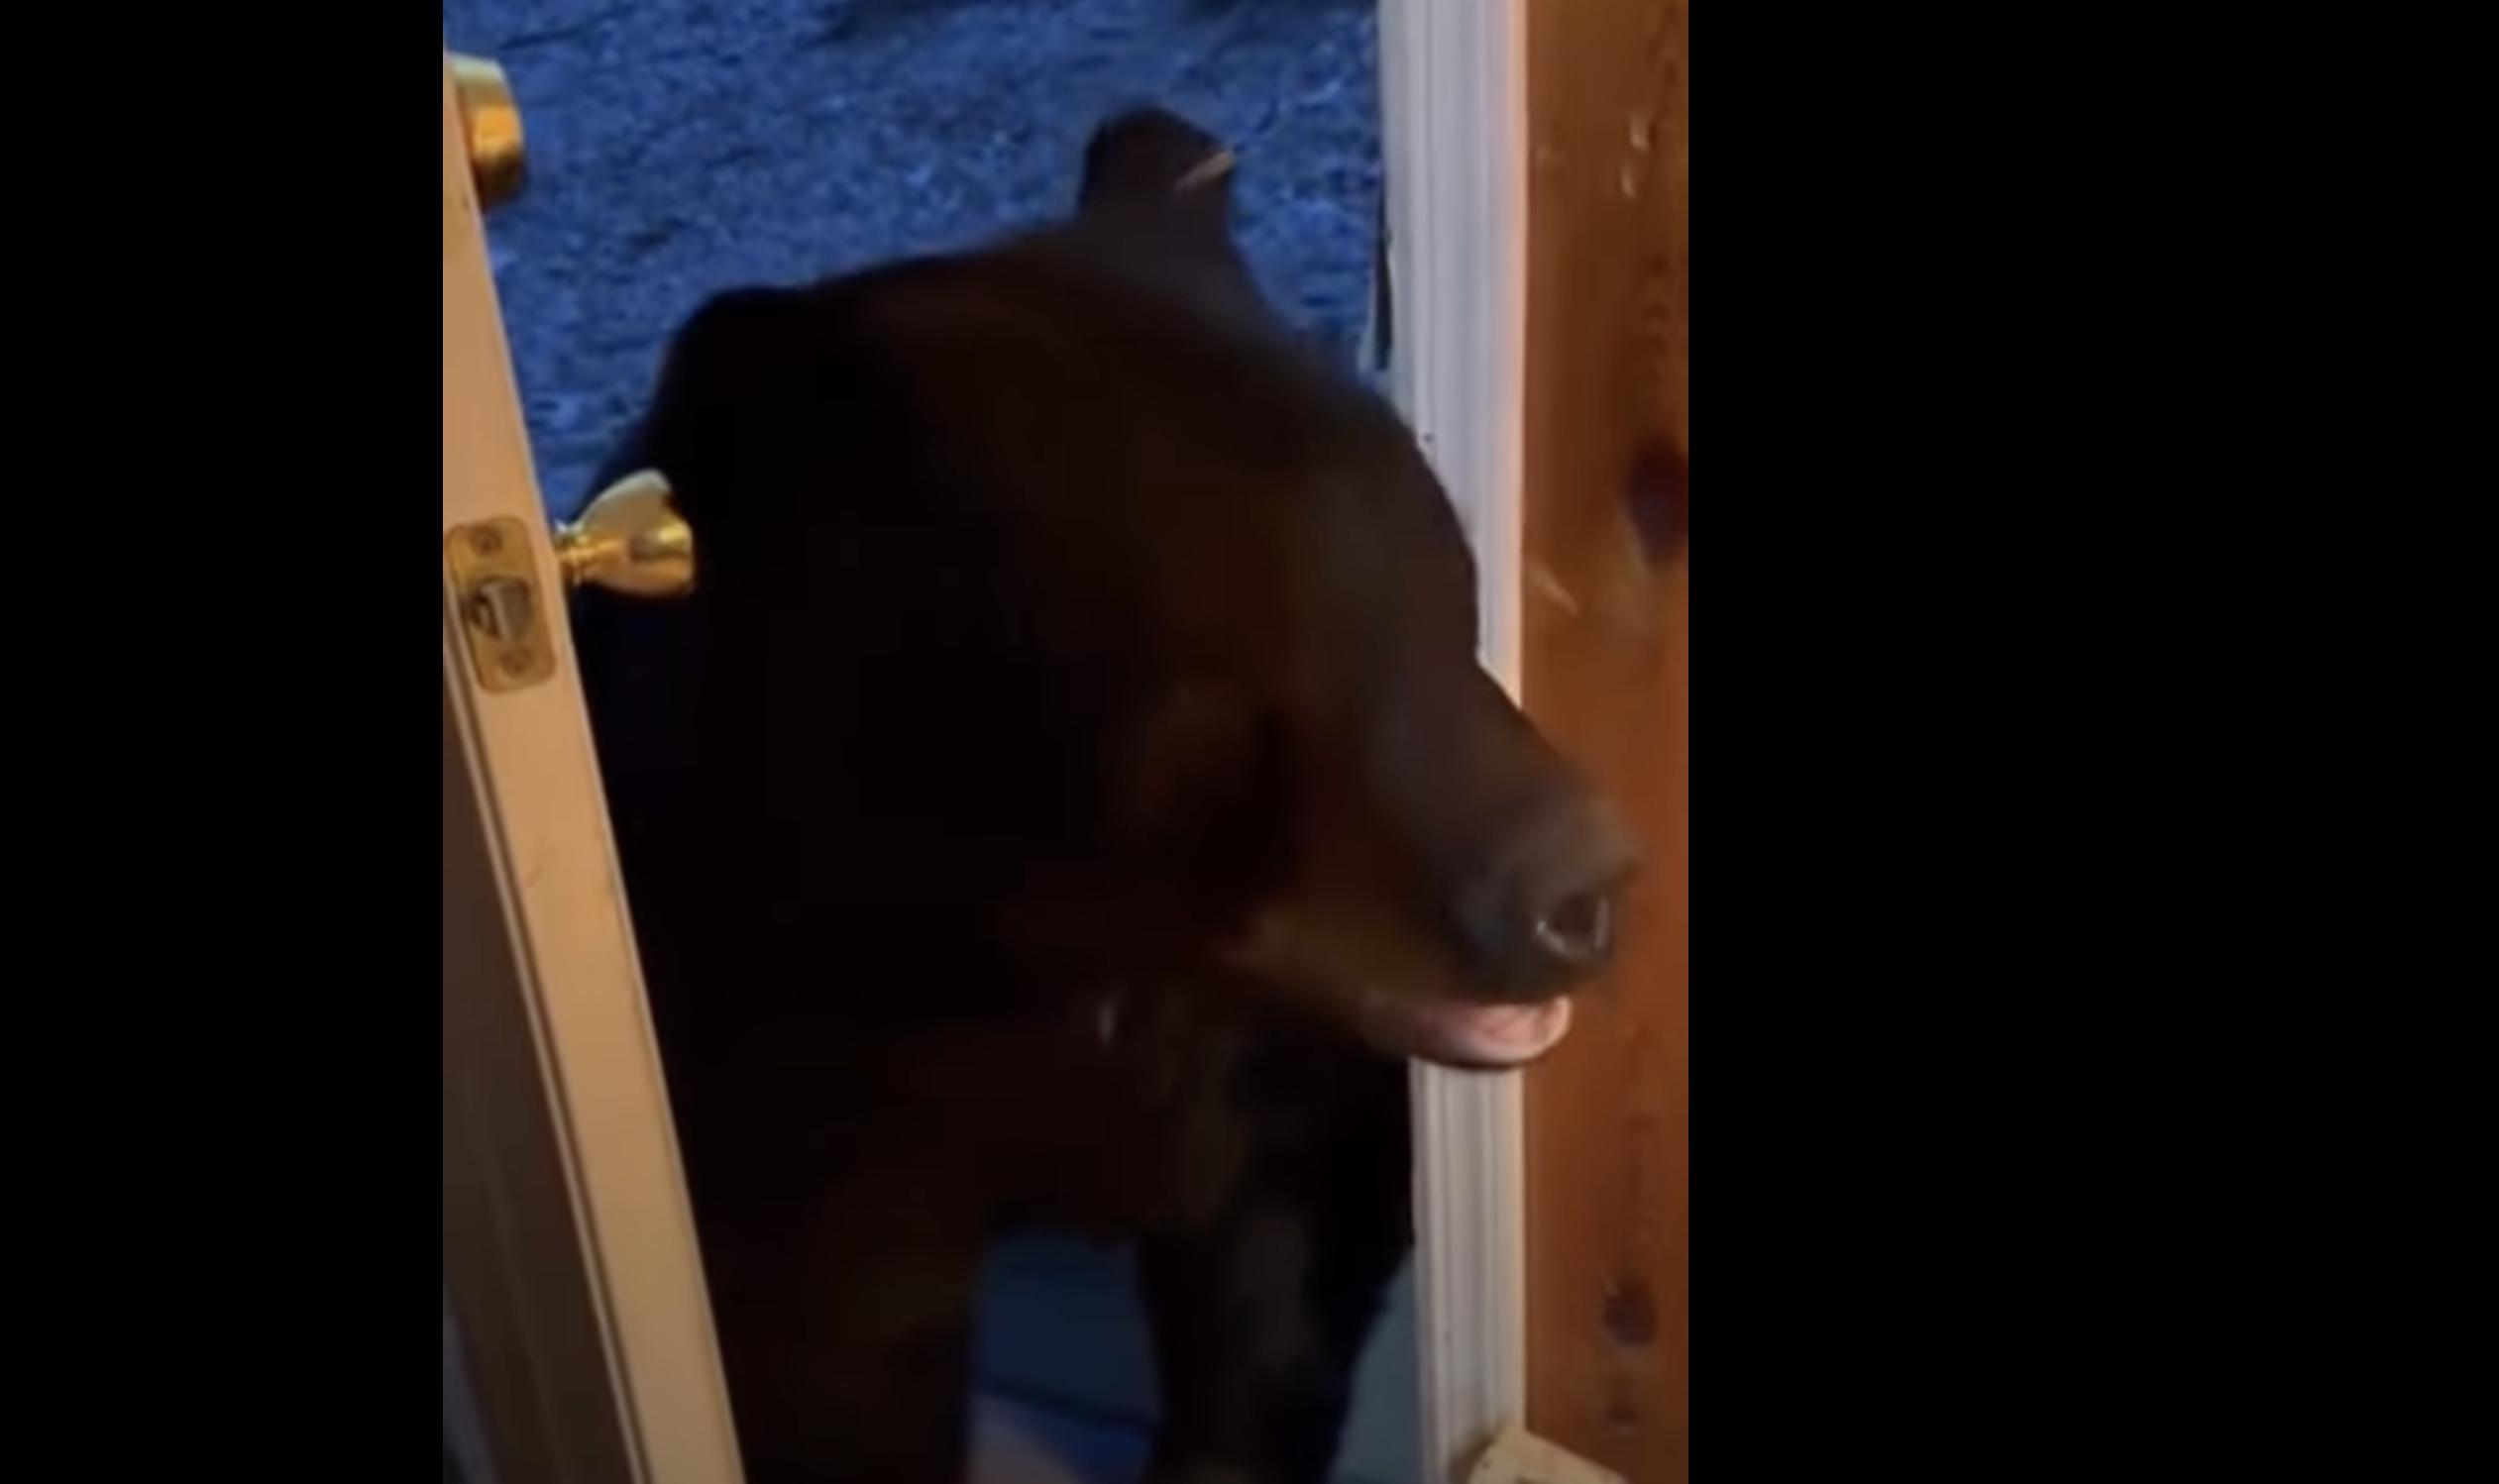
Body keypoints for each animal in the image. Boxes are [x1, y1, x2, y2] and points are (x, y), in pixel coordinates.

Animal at [569, 106, 1637, 1484]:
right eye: (1227, 667)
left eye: (1442, 575)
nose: (1583, 888)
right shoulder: (792, 1070)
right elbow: (828, 1359)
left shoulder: (1280, 1082)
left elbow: (1276, 1286)